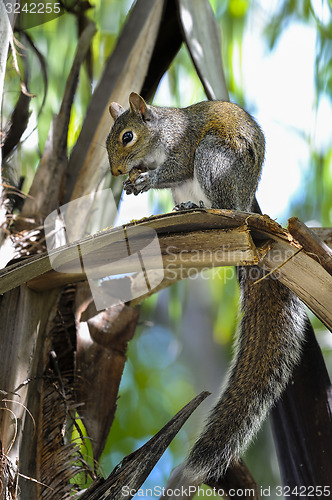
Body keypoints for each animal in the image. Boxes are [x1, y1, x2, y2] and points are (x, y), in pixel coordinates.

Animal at [105, 94, 306, 488]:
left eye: (127, 137)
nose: (117, 172)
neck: (159, 135)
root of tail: (246, 205)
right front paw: (135, 182)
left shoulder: (183, 149)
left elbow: (175, 168)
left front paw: (148, 179)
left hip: (214, 160)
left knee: (217, 200)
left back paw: (203, 207)